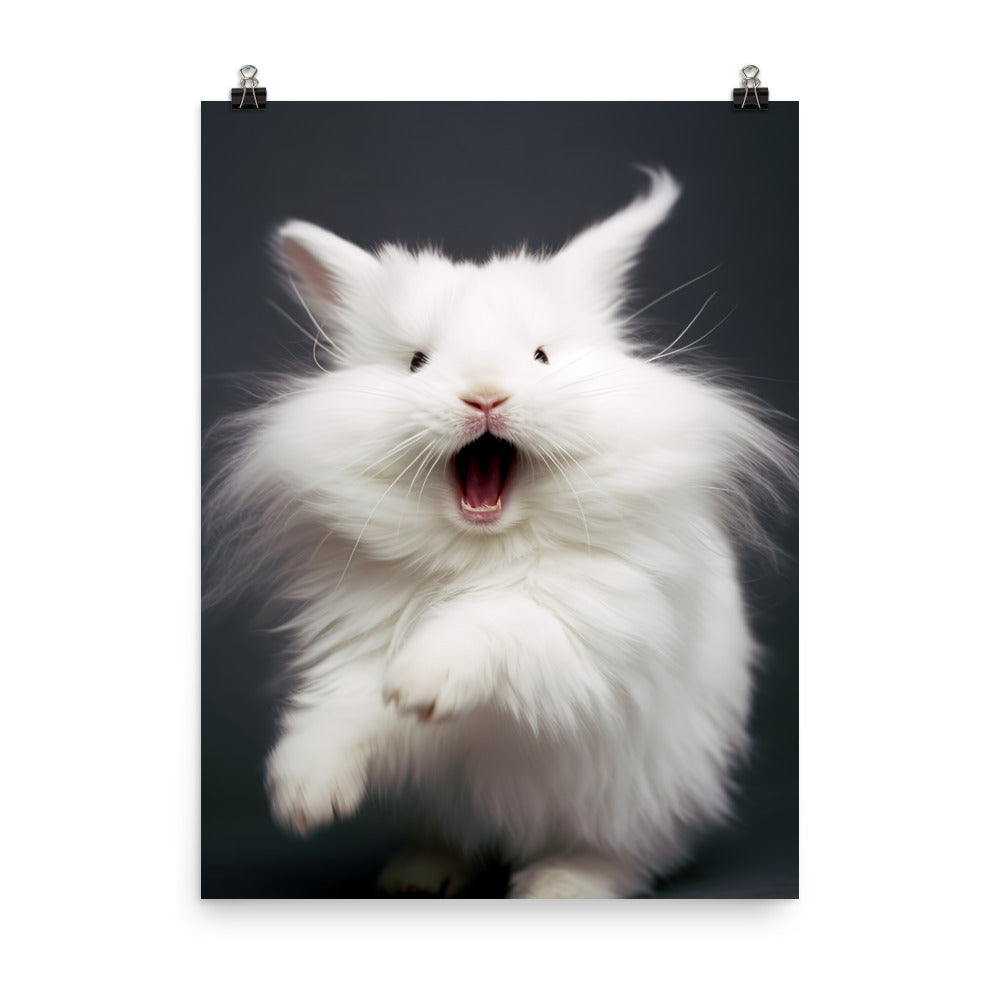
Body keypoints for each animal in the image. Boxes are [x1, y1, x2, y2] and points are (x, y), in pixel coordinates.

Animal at [204, 169, 795, 898]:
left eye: (541, 356)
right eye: (416, 362)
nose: (485, 396)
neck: (482, 548)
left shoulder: (588, 625)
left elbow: (498, 621)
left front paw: (419, 684)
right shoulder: (354, 643)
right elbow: (343, 708)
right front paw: (304, 796)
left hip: (640, 802)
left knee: (626, 854)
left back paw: (560, 883)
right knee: (460, 838)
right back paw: (419, 874)